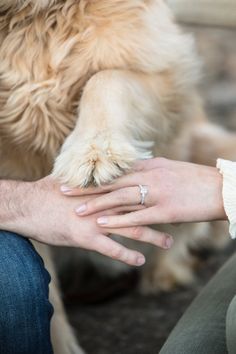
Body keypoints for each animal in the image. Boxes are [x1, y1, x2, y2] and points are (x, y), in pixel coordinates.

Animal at [0, 0, 235, 352]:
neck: (35, 17)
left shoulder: (167, 74)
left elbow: (107, 78)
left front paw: (95, 151)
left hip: (210, 141)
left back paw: (163, 272)